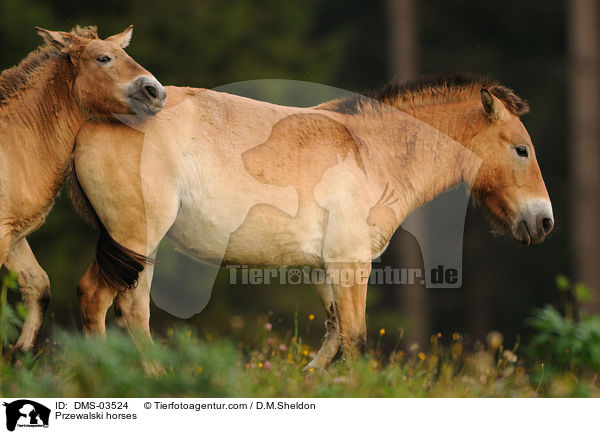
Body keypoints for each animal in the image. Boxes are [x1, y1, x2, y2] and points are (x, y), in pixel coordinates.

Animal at [0, 24, 165, 352]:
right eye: (103, 58)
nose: (156, 92)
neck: (14, 142)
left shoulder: (13, 235)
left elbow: (38, 288)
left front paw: (17, 355)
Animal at [70, 74, 552, 370]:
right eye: (522, 149)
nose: (544, 221)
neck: (372, 151)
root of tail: (92, 121)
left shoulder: (322, 269)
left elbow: (335, 334)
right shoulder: (350, 263)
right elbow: (355, 337)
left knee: (126, 308)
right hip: (135, 238)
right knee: (102, 299)